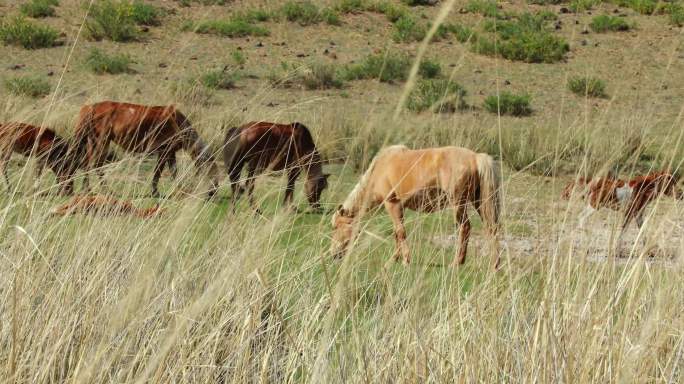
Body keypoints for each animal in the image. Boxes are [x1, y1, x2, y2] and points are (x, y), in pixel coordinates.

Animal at [75, 101, 220, 198]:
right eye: (213, 172)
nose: (214, 191)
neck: (179, 122)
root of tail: (90, 107)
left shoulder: (170, 153)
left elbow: (174, 172)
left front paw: (179, 190)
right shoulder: (164, 151)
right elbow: (158, 173)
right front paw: (156, 192)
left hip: (93, 142)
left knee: (87, 164)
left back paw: (87, 190)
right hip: (102, 142)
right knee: (97, 165)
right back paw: (106, 190)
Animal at [328, 146, 500, 268]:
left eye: (336, 227)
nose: (333, 255)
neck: (380, 169)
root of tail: (475, 157)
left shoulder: (393, 205)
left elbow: (400, 232)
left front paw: (405, 260)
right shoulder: (398, 208)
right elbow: (397, 233)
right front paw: (395, 259)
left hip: (458, 204)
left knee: (465, 228)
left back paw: (457, 262)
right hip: (479, 203)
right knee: (491, 228)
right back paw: (495, 265)